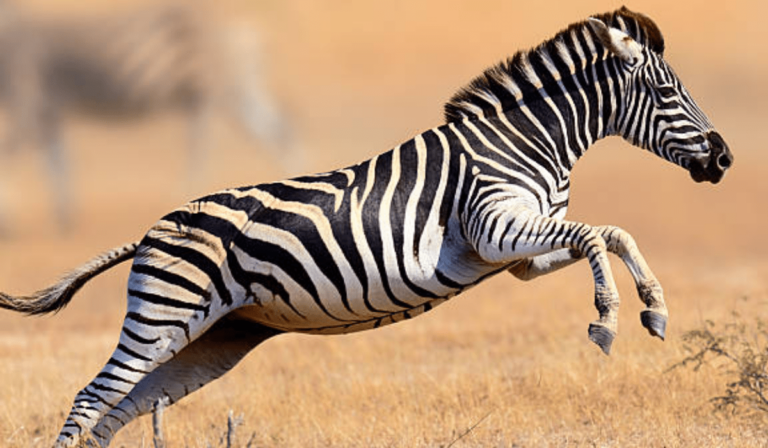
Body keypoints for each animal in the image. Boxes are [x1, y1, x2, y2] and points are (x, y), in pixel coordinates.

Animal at [0, 2, 298, 231]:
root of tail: (241, 31)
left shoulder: (27, 100)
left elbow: (12, 155)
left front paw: (9, 221)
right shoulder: (49, 110)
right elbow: (57, 163)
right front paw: (66, 218)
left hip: (216, 93)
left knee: (203, 148)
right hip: (236, 91)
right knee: (280, 132)